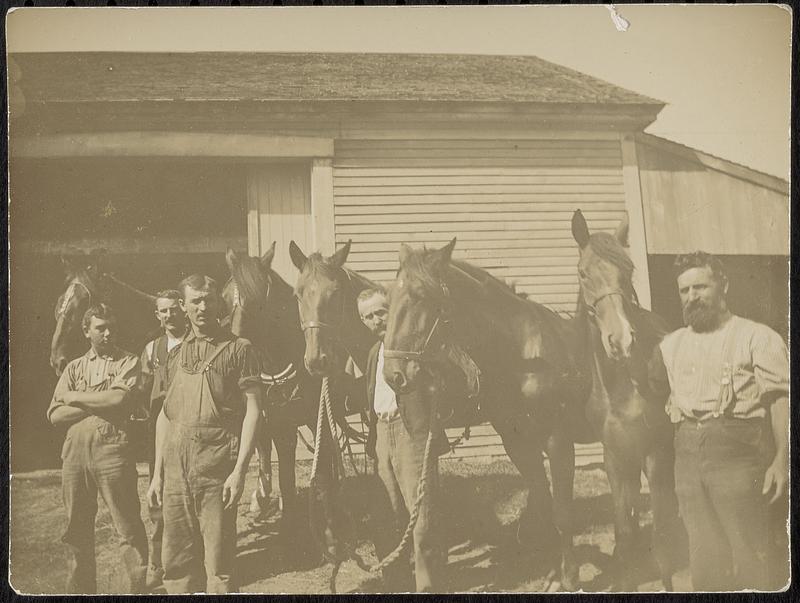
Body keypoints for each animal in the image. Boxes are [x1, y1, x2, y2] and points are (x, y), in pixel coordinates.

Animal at [378, 236, 592, 588]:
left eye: (420, 297)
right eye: (390, 298)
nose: (393, 375)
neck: (522, 355)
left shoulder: (558, 439)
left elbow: (561, 510)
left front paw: (570, 578)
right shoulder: (518, 443)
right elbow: (542, 499)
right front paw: (553, 571)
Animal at [572, 210, 680, 592]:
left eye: (628, 270)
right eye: (583, 272)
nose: (619, 340)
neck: (621, 391)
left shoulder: (654, 452)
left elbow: (662, 537)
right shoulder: (615, 458)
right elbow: (624, 531)